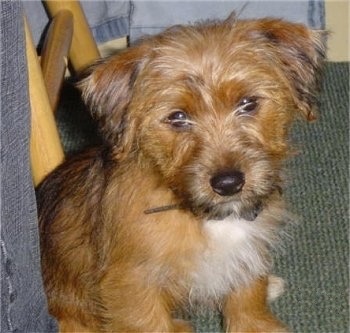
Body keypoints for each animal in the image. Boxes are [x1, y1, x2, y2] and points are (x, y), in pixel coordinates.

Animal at [37, 14, 326, 330]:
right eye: (177, 117)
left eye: (248, 103)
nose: (228, 183)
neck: (205, 216)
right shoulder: (135, 286)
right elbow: (152, 324)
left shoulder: (246, 255)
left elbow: (248, 304)